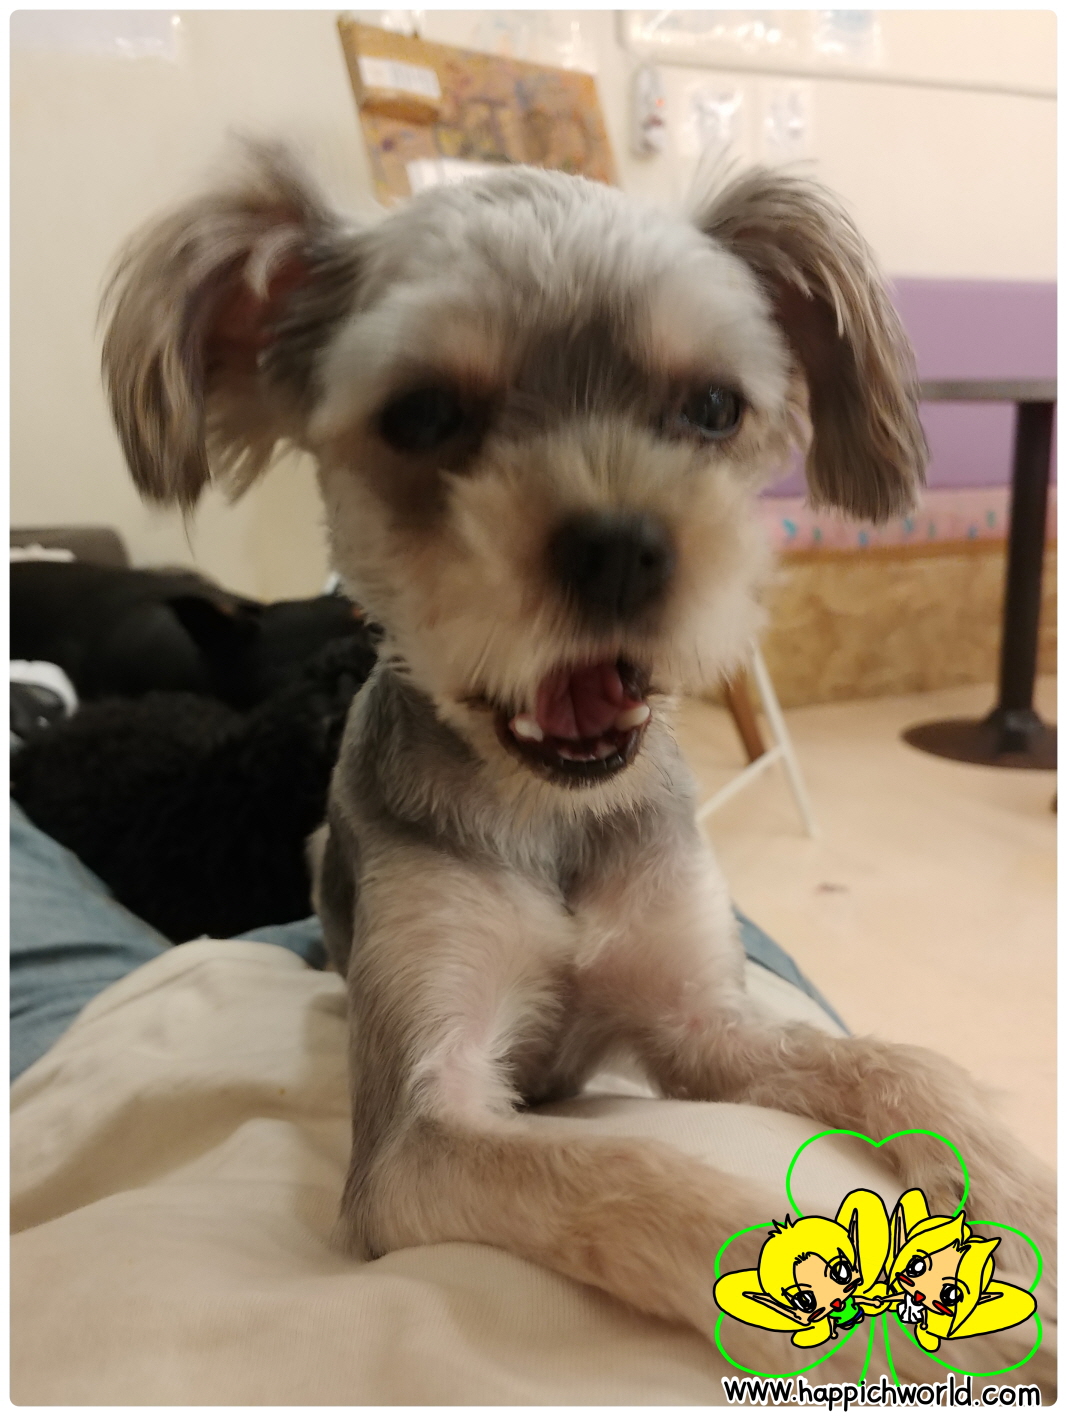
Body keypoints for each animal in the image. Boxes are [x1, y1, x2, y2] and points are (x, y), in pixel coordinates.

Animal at [100, 144, 1054, 1377]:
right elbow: (636, 1176)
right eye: (422, 415)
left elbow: (898, 1065)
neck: (551, 815)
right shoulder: (421, 1136)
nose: (621, 546)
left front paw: (1021, 1201)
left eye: (711, 407)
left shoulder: (702, 1030)